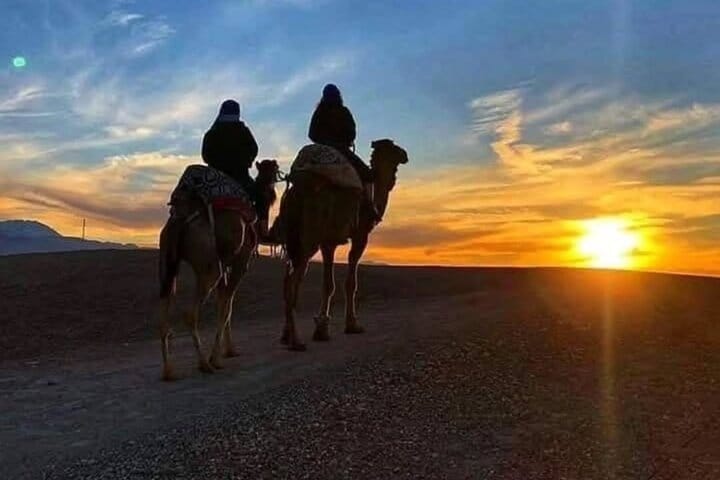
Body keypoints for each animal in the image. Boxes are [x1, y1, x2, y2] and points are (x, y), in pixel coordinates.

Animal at [158, 160, 280, 381]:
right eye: (273, 173)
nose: (273, 189)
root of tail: (181, 216)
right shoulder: (241, 262)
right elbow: (226, 307)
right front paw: (218, 357)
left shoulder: (225, 264)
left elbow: (225, 303)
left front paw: (229, 350)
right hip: (208, 266)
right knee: (190, 314)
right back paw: (204, 364)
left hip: (168, 264)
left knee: (164, 311)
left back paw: (168, 370)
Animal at [273, 139, 409, 350]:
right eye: (393, 148)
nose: (405, 154)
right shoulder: (360, 235)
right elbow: (350, 282)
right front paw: (352, 325)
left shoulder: (328, 242)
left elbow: (328, 284)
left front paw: (321, 329)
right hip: (308, 240)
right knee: (292, 282)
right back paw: (296, 341)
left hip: (295, 241)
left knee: (288, 280)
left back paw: (286, 335)